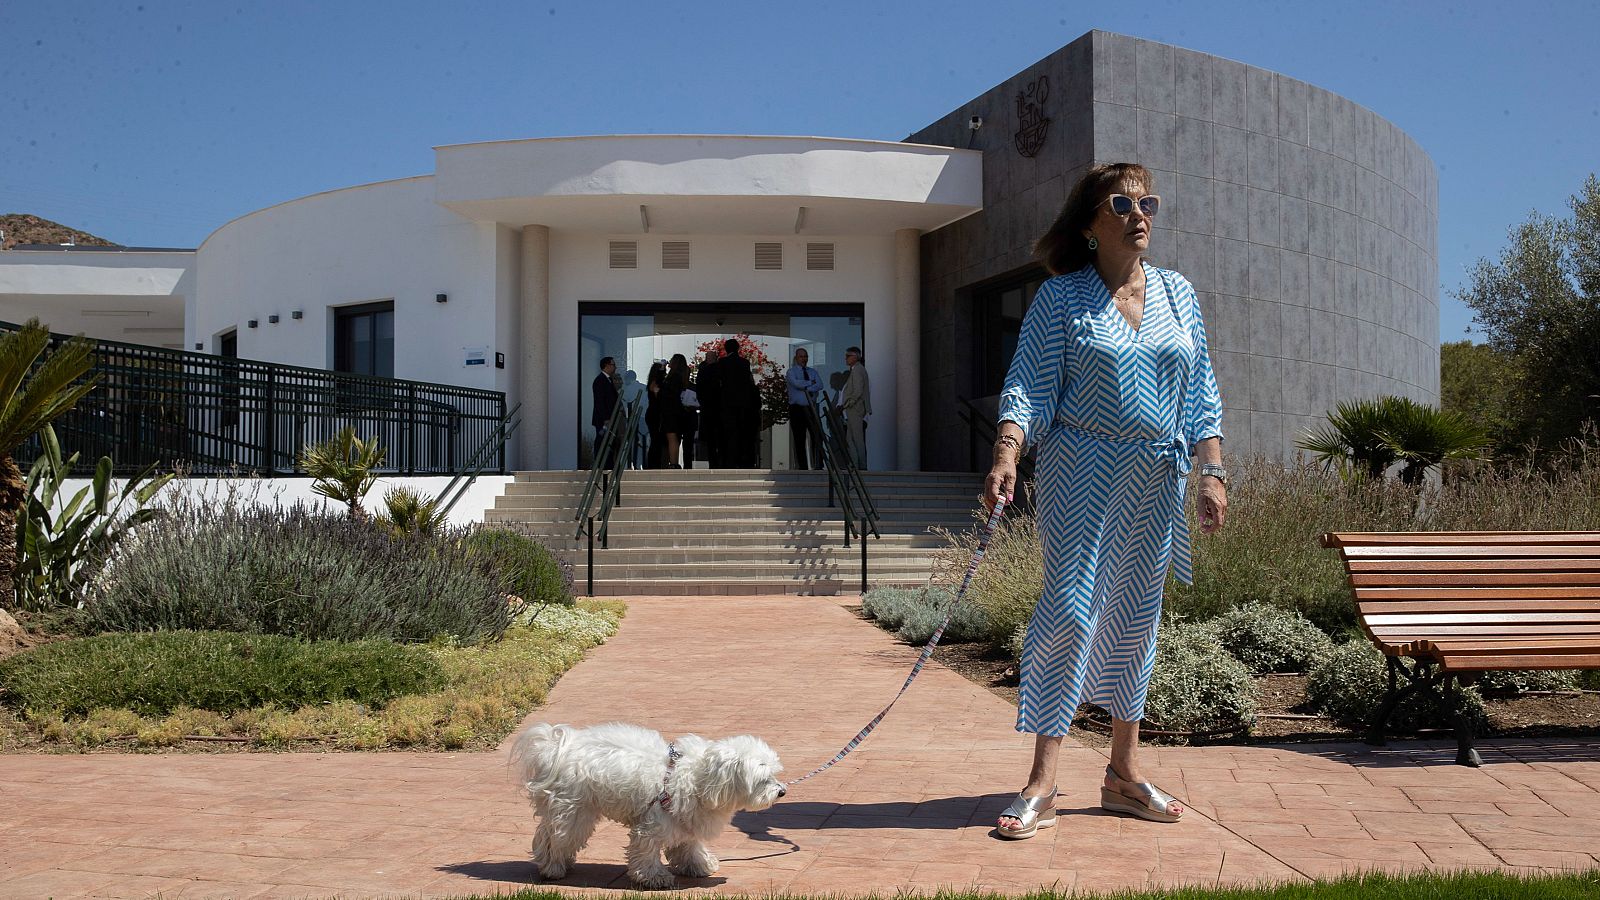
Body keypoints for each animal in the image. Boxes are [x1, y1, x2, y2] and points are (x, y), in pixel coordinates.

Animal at [512, 717, 787, 883]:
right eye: (763, 779)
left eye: (774, 774)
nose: (782, 791)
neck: (701, 778)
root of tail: (556, 749)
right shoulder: (652, 824)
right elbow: (646, 852)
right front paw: (654, 877)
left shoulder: (684, 821)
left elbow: (689, 847)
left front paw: (699, 865)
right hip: (573, 812)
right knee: (551, 838)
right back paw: (552, 868)